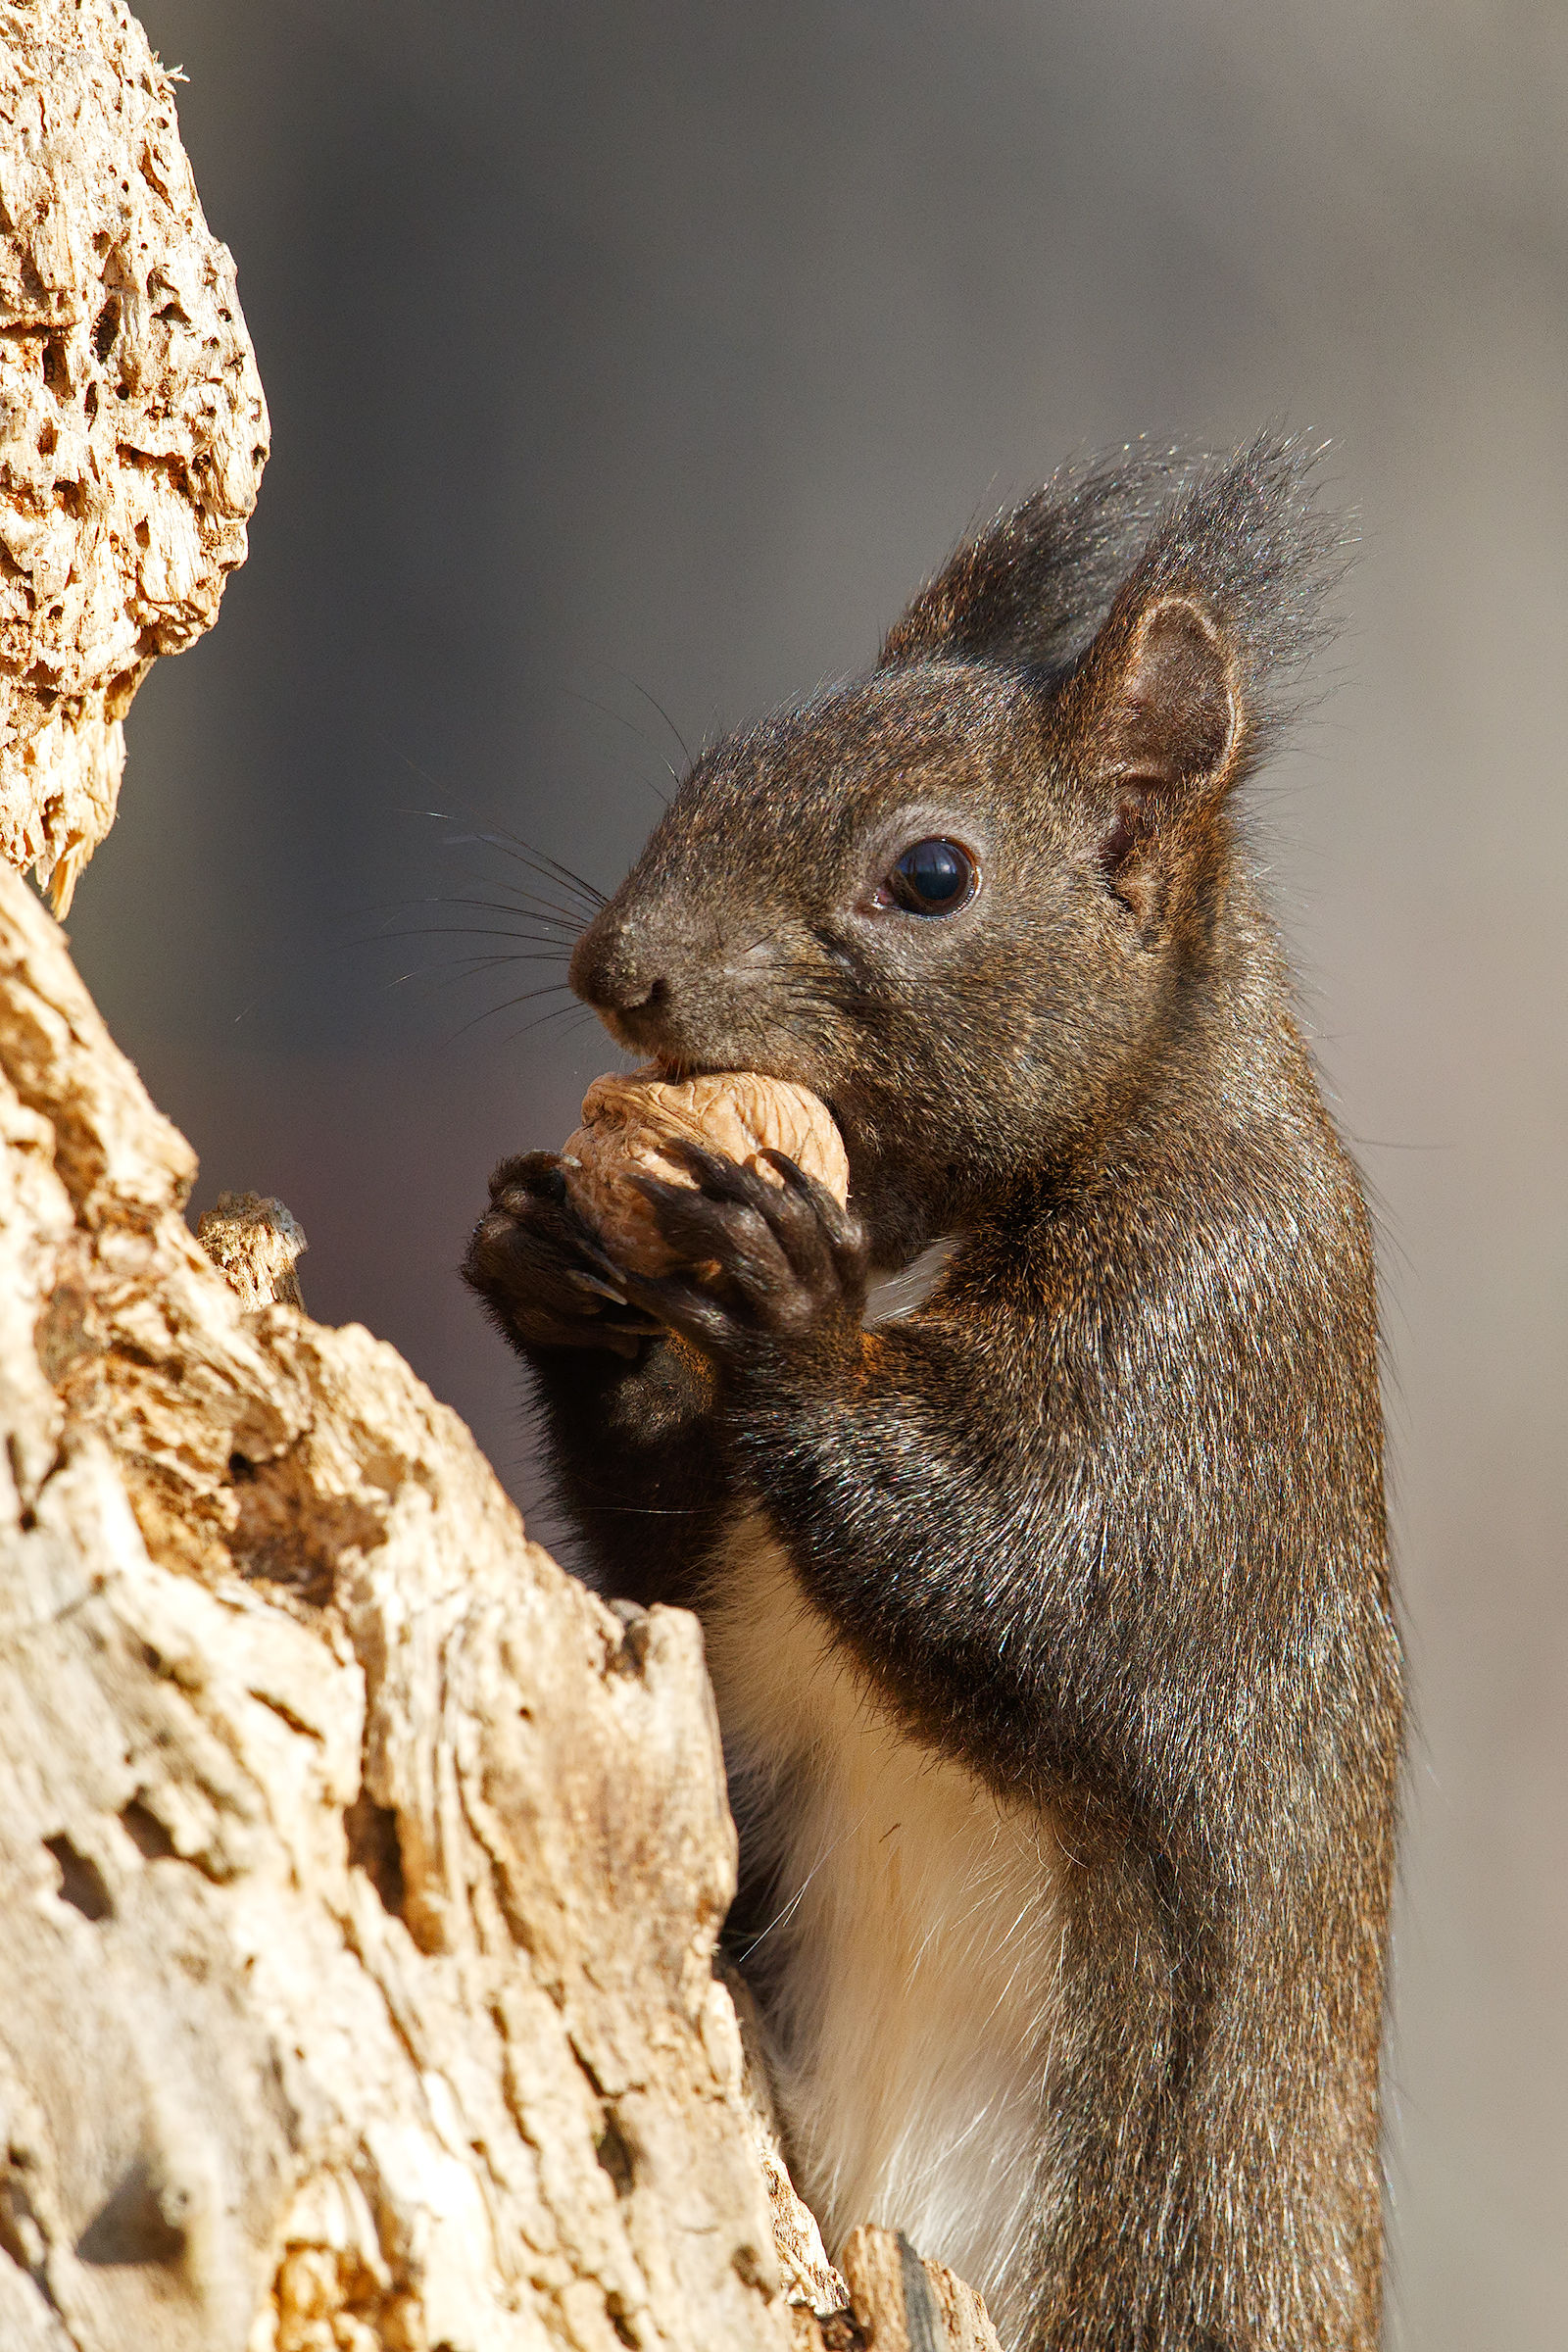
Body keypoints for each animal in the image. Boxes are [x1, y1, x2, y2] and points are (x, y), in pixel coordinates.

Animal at [463, 434, 1403, 2352]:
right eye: (715, 763)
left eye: (933, 877)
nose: (615, 971)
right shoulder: (747, 1585)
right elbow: (687, 1555)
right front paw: (559, 1272)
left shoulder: (1209, 1355)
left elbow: (1027, 1577)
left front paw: (785, 1306)